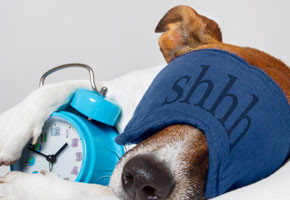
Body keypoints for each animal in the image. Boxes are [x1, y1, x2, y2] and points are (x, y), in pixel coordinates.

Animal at [0, 5, 288, 200]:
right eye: (170, 93)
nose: (143, 177)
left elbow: (92, 193)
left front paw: (25, 187)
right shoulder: (119, 89)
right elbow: (65, 86)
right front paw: (8, 130)